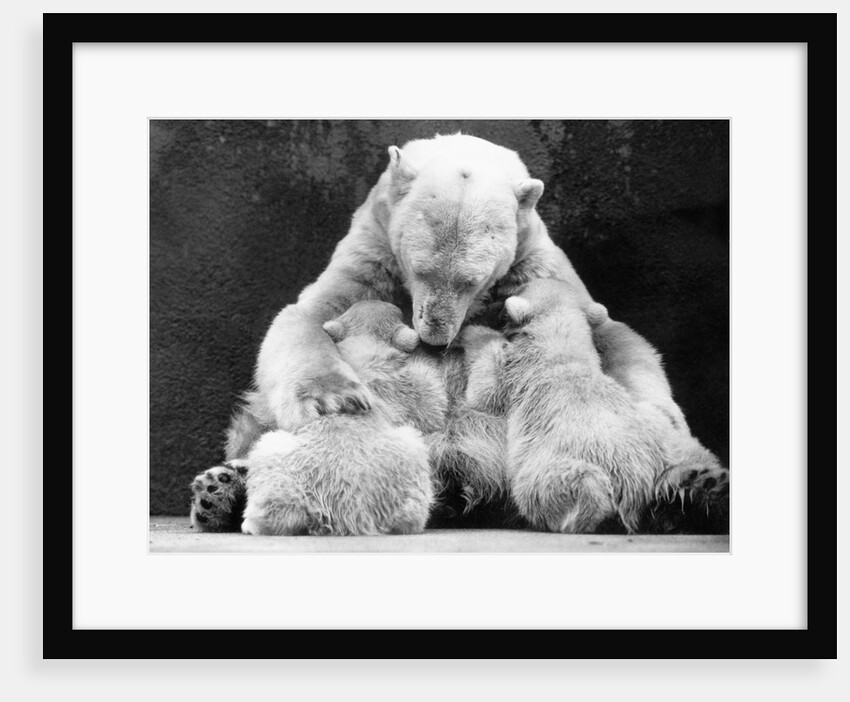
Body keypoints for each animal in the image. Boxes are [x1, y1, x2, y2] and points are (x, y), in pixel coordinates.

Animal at [188, 133, 724, 534]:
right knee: (254, 429)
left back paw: (696, 488)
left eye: (472, 280)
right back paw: (221, 489)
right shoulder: (370, 260)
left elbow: (612, 334)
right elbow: (304, 318)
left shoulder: (530, 266)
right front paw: (334, 397)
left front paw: (664, 423)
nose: (436, 338)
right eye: (420, 269)